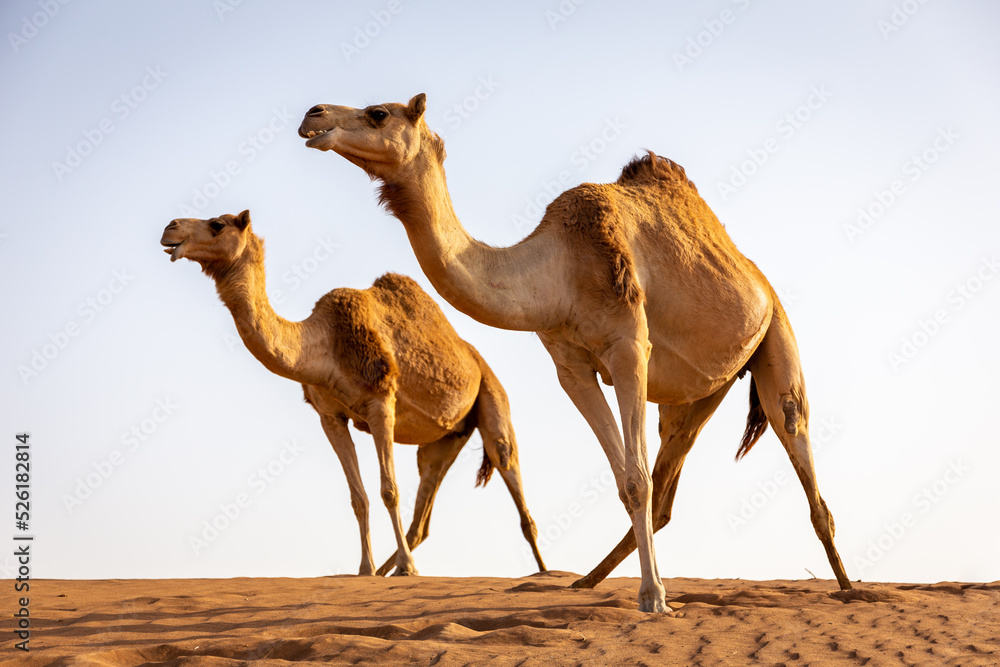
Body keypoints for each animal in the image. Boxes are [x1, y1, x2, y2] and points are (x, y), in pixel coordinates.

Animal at [159, 211, 548, 576]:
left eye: (217, 225)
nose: (170, 228)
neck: (324, 344)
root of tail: (476, 359)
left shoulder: (381, 403)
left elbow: (389, 490)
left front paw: (404, 568)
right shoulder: (330, 416)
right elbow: (358, 497)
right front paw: (365, 570)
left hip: (493, 397)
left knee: (509, 471)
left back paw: (544, 572)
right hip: (446, 439)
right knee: (423, 511)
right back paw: (392, 569)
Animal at [294, 94, 852, 616]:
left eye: (378, 113)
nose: (312, 116)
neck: (557, 269)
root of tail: (757, 275)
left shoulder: (629, 347)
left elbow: (636, 477)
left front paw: (654, 597)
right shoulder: (571, 365)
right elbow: (627, 481)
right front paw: (646, 590)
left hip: (776, 334)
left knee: (797, 439)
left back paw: (847, 587)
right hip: (697, 396)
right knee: (669, 481)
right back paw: (585, 580)